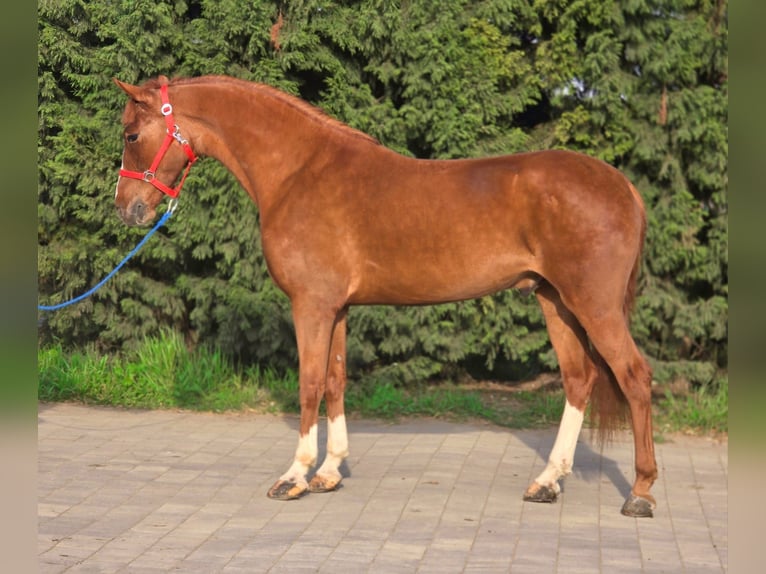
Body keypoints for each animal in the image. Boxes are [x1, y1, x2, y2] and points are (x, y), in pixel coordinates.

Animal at [113, 74, 657, 517]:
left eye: (131, 135)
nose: (127, 209)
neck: (298, 170)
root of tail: (625, 187)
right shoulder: (336, 308)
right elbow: (335, 381)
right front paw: (330, 472)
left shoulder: (311, 305)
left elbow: (309, 383)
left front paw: (295, 476)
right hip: (555, 301)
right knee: (579, 380)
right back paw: (547, 482)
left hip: (593, 305)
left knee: (633, 377)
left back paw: (640, 492)